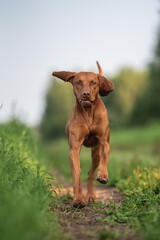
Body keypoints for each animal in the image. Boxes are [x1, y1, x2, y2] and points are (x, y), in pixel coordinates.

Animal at [52, 62, 114, 208]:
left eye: (94, 83)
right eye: (78, 82)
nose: (85, 94)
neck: (88, 113)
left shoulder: (104, 142)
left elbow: (104, 159)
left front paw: (103, 175)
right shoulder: (74, 148)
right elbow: (76, 174)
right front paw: (78, 199)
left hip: (95, 152)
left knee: (91, 173)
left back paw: (91, 196)